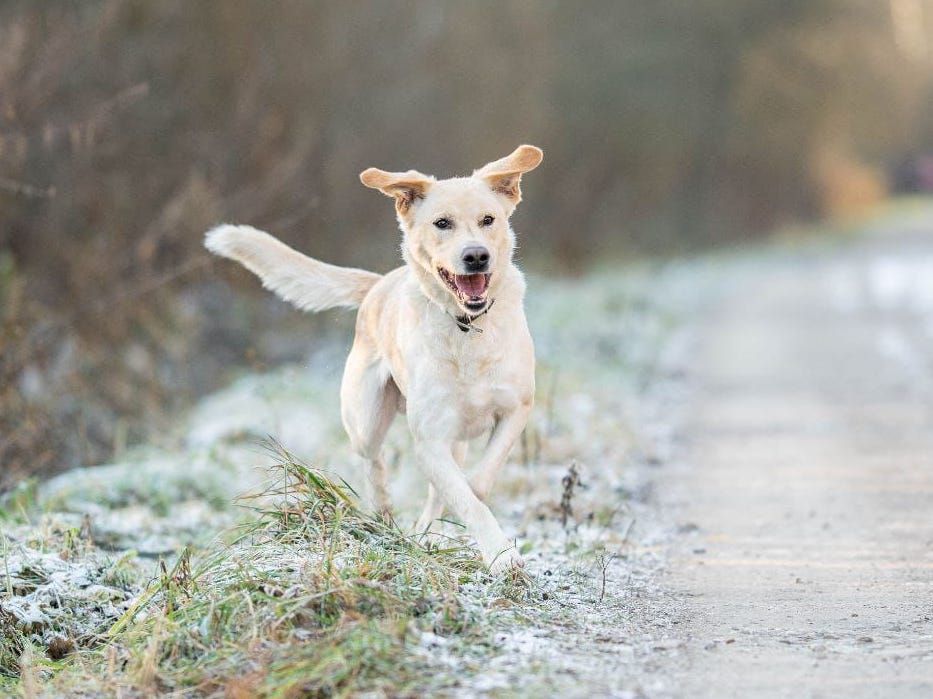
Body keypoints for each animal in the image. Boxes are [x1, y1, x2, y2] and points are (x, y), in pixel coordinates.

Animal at [204, 145, 540, 572]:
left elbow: (475, 485)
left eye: (488, 220)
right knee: (372, 462)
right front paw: (500, 556)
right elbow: (464, 495)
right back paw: (385, 518)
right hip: (366, 418)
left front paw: (472, 532)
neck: (466, 327)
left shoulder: (515, 410)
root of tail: (379, 283)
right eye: (442, 223)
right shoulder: (429, 438)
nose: (476, 256)